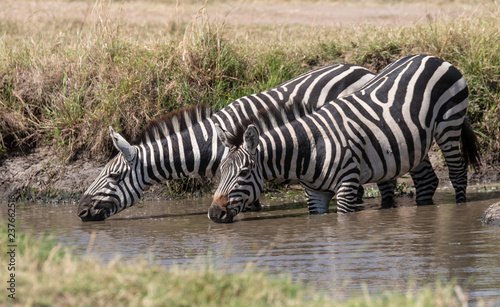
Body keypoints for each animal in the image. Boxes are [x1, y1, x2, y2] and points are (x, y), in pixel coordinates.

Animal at [208, 54, 480, 224]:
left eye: (244, 173)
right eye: (220, 172)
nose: (213, 214)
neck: (308, 150)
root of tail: (433, 57)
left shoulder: (347, 185)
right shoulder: (315, 195)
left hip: (449, 124)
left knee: (457, 173)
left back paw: (460, 210)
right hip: (412, 142)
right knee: (426, 179)